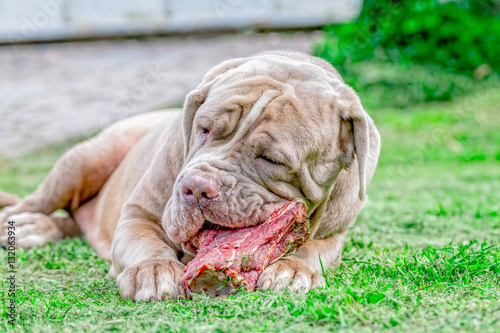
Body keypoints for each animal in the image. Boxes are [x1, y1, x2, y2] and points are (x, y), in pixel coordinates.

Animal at [0, 50, 378, 300]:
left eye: (271, 159)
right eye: (205, 128)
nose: (197, 189)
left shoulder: (336, 233)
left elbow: (313, 249)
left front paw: (292, 269)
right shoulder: (138, 213)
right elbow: (146, 241)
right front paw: (153, 272)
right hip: (84, 159)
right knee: (36, 202)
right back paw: (21, 225)